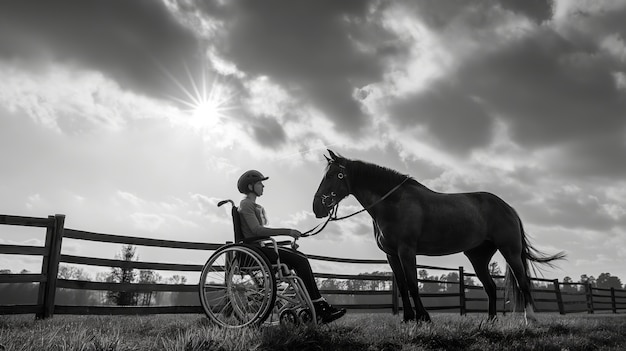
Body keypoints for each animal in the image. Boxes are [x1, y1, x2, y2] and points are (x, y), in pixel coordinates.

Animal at [312, 150, 560, 324]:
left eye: (334, 175)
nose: (317, 207)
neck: (393, 203)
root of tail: (508, 207)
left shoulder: (406, 251)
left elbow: (412, 284)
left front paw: (423, 317)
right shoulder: (392, 255)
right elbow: (402, 285)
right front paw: (408, 318)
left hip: (510, 251)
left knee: (523, 282)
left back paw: (530, 319)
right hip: (478, 257)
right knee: (490, 287)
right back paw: (490, 321)